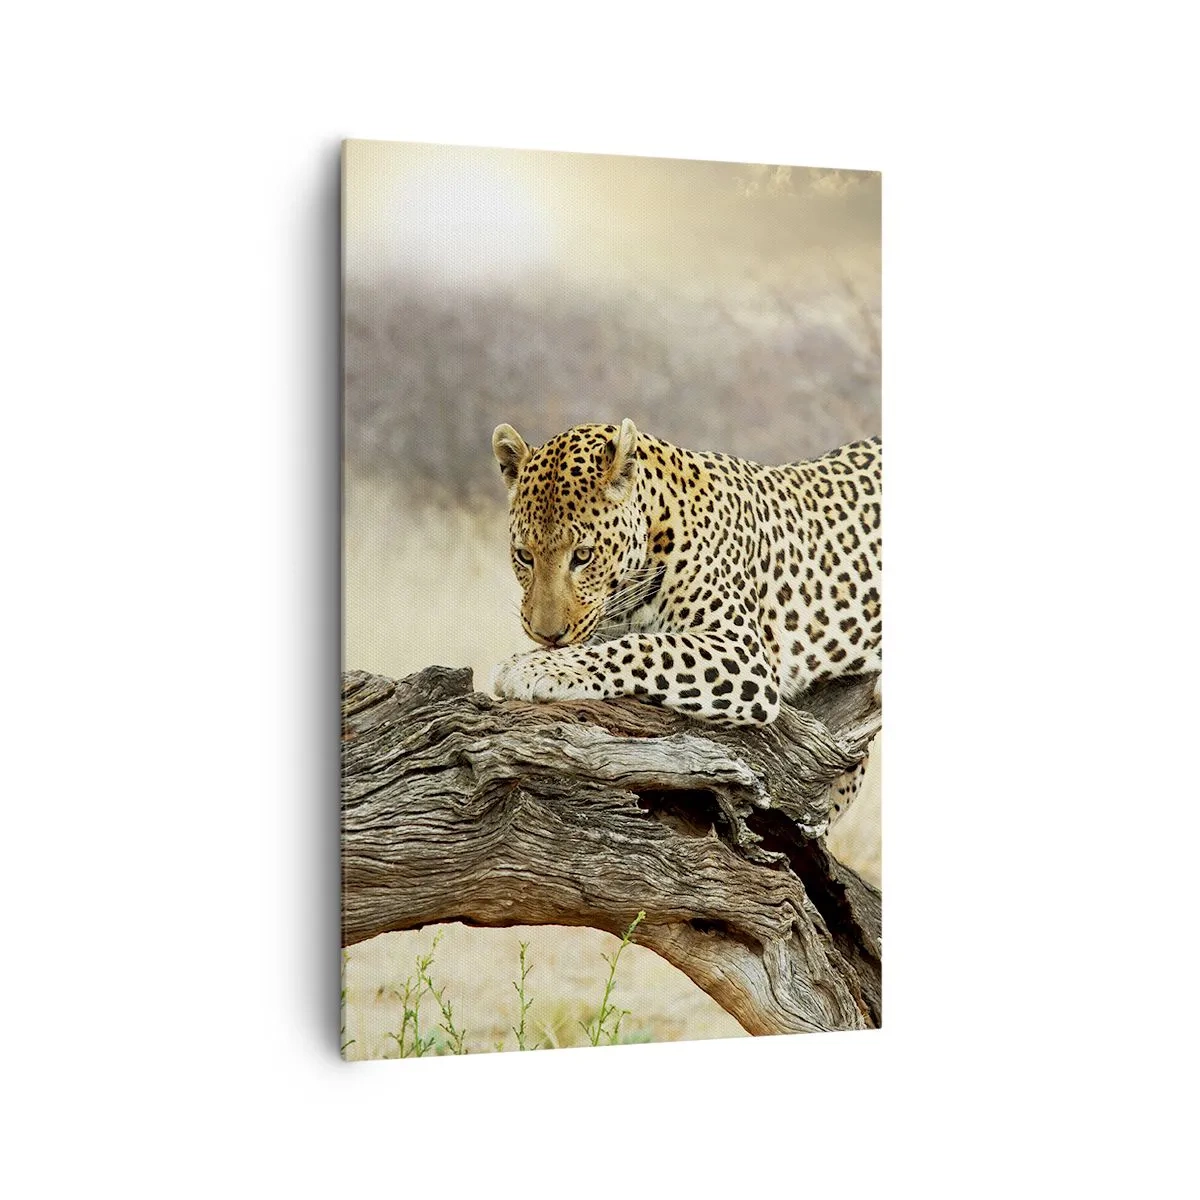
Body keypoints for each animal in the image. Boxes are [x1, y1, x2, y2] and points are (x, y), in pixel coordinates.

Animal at [489, 419, 881, 813]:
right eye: (524, 556)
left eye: (583, 556)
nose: (546, 635)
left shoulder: (742, 650)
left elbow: (642, 647)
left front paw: (532, 667)